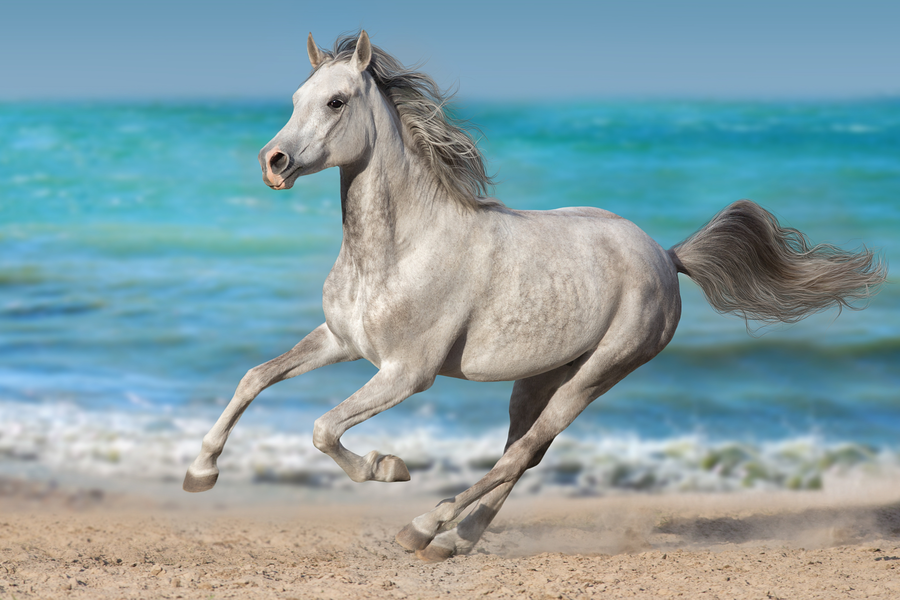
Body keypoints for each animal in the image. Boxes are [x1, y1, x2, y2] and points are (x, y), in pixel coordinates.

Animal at [183, 31, 886, 562]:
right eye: (295, 97)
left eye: (335, 101)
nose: (273, 162)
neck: (400, 247)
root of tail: (666, 256)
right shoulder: (341, 341)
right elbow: (255, 378)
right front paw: (201, 472)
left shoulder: (406, 373)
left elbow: (324, 428)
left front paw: (387, 466)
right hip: (540, 377)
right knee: (526, 452)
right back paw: (454, 540)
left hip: (598, 373)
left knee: (524, 450)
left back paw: (426, 527)